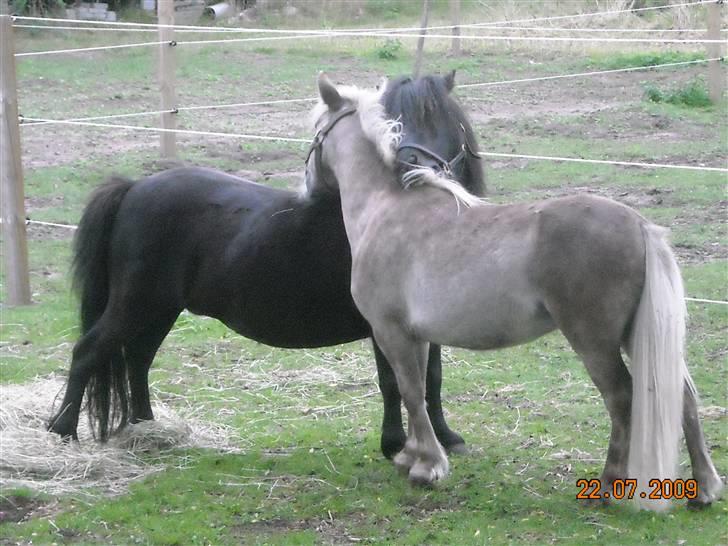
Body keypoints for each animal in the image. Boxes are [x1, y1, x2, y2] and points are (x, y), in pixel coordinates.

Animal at [49, 71, 484, 454]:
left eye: (438, 120)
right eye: (392, 123)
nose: (411, 170)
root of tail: (134, 187)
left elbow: (431, 378)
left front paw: (447, 437)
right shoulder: (384, 325)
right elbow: (396, 381)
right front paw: (394, 445)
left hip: (159, 309)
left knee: (138, 359)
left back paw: (149, 430)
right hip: (135, 304)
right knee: (89, 352)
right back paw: (63, 432)